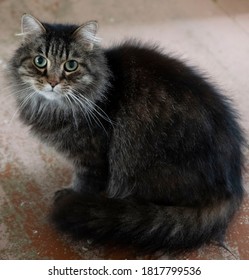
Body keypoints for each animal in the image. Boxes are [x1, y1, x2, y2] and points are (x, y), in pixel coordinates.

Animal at [8, 13, 245, 254]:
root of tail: (233, 187)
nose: (53, 83)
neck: (54, 108)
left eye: (71, 65)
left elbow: (84, 183)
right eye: (40, 61)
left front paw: (71, 195)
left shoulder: (92, 157)